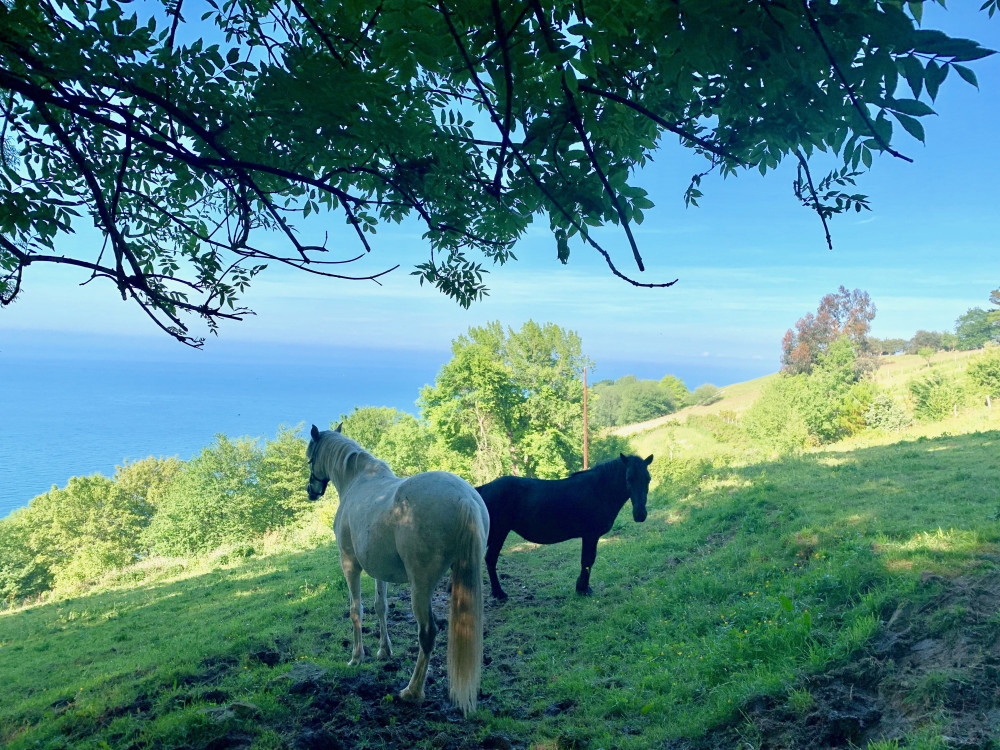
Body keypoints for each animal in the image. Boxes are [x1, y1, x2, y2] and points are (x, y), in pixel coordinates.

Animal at [306, 426, 490, 720]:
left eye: (309, 457)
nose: (310, 490)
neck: (357, 481)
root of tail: (464, 497)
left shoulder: (350, 564)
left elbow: (356, 610)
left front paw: (357, 657)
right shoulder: (379, 570)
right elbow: (381, 607)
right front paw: (384, 651)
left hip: (420, 586)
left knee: (427, 633)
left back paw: (412, 692)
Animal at [478, 456, 656, 604]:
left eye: (648, 479)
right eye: (629, 478)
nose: (640, 514)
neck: (599, 490)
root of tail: (482, 489)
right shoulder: (590, 535)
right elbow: (587, 560)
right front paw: (583, 589)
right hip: (499, 532)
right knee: (490, 559)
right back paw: (499, 593)